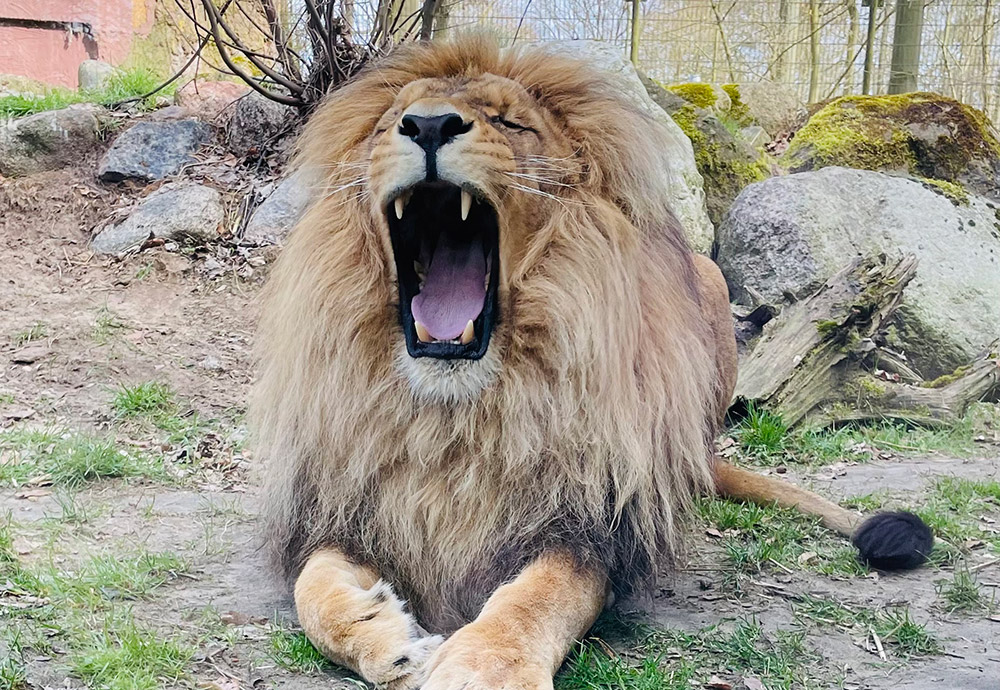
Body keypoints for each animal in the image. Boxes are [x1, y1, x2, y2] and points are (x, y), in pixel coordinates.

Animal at [252, 36, 936, 688]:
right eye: (392, 121)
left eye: (511, 122)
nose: (427, 125)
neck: (458, 412)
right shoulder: (346, 505)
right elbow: (313, 589)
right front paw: (387, 640)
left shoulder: (592, 527)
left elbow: (536, 598)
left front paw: (484, 669)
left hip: (707, 289)